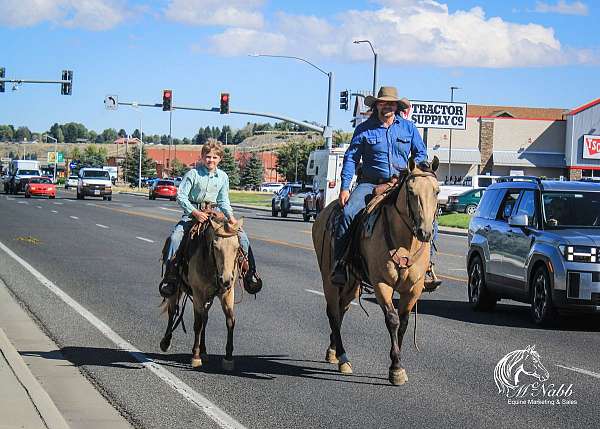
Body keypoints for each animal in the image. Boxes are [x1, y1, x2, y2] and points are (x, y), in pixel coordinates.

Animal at [161, 216, 245, 370]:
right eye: (216, 247)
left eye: (237, 248)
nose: (226, 279)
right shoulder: (198, 293)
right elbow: (198, 324)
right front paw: (195, 356)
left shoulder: (227, 293)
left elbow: (230, 320)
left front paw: (228, 357)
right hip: (176, 289)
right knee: (172, 311)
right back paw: (166, 342)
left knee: (205, 317)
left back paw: (204, 350)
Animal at [312, 156, 438, 384]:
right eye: (411, 191)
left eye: (437, 191)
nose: (425, 232)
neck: (404, 243)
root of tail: (324, 211)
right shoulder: (382, 283)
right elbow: (392, 320)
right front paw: (396, 368)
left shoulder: (413, 289)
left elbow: (403, 322)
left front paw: (397, 363)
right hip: (329, 279)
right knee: (333, 312)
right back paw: (343, 357)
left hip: (352, 283)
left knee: (342, 309)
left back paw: (333, 350)